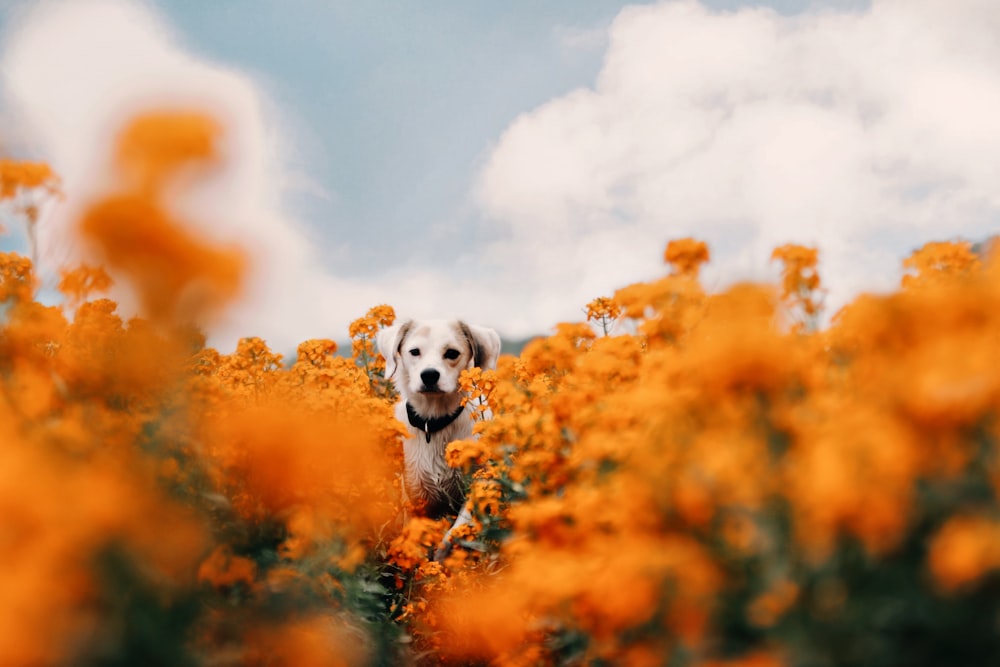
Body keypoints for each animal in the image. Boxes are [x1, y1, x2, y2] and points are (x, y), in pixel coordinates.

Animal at [376, 320, 500, 560]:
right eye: (414, 352)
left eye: (452, 353)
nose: (429, 375)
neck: (433, 426)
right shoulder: (415, 496)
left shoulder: (479, 481)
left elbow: (452, 534)